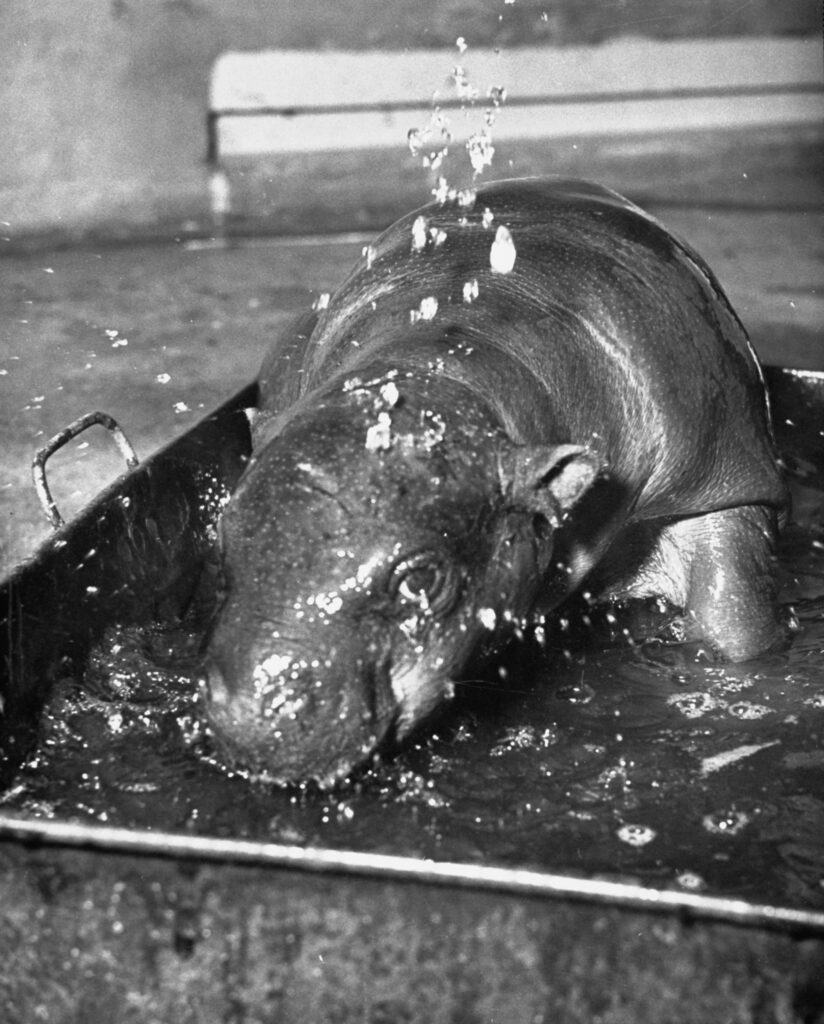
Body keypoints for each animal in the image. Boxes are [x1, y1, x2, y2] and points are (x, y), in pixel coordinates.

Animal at [201, 177, 788, 786]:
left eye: (422, 580)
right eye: (224, 534)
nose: (253, 711)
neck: (449, 362)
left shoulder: (717, 469)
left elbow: (734, 619)